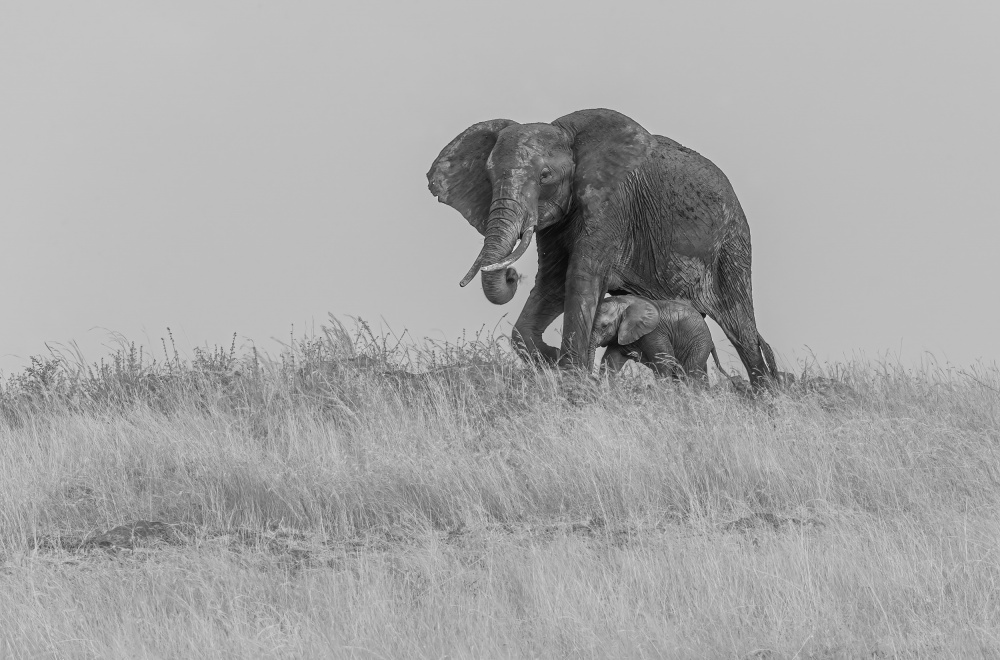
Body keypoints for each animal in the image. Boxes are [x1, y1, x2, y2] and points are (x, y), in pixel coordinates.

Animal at [592, 296, 728, 382]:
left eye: (604, 325)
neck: (626, 301)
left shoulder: (653, 333)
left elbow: (664, 362)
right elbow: (610, 362)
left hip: (699, 344)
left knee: (688, 373)